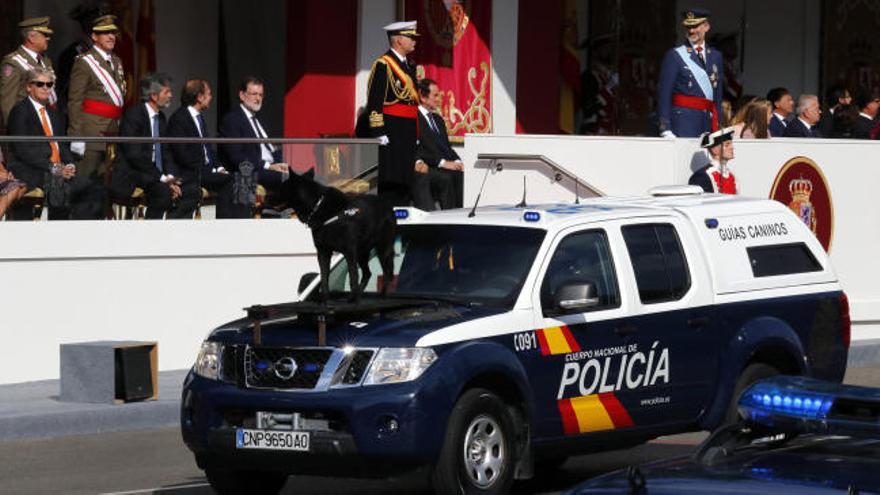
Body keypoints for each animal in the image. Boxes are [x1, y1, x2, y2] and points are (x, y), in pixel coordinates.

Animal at [282, 170, 396, 302]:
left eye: (281, 188)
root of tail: (389, 208)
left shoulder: (349, 252)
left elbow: (353, 276)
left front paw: (354, 300)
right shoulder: (323, 252)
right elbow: (324, 277)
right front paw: (326, 299)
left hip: (383, 249)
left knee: (387, 272)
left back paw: (381, 295)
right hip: (362, 252)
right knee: (368, 273)